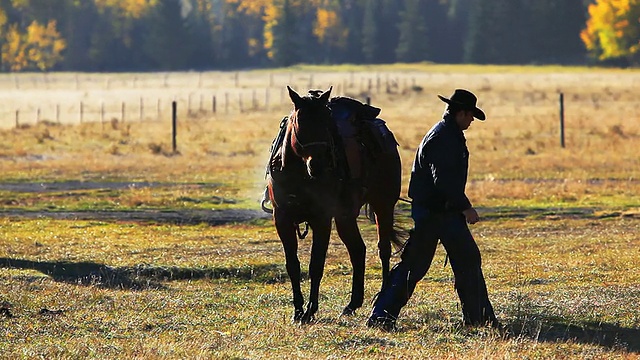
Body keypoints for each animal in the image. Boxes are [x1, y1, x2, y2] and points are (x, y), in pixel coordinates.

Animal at [262, 85, 402, 324]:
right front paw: (297, 311)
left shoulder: (322, 219)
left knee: (383, 249)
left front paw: (310, 310)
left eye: (327, 123)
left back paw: (380, 297)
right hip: (346, 217)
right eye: (300, 122)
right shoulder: (282, 219)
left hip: (383, 205)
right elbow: (293, 265)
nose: (318, 165)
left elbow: (316, 265)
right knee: (358, 250)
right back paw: (352, 304)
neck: (299, 174)